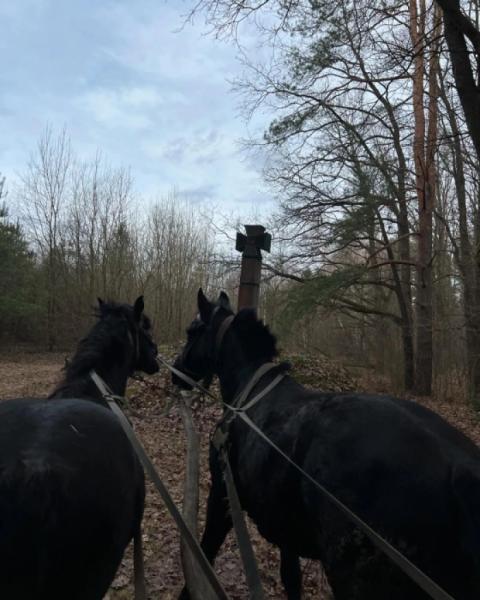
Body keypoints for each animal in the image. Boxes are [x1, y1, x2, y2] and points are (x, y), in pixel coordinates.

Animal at [174, 288, 480, 596]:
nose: (176, 371)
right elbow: (291, 578)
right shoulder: (286, 528)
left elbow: (205, 553)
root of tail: (459, 468)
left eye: (192, 331)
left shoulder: (221, 496)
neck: (250, 390)